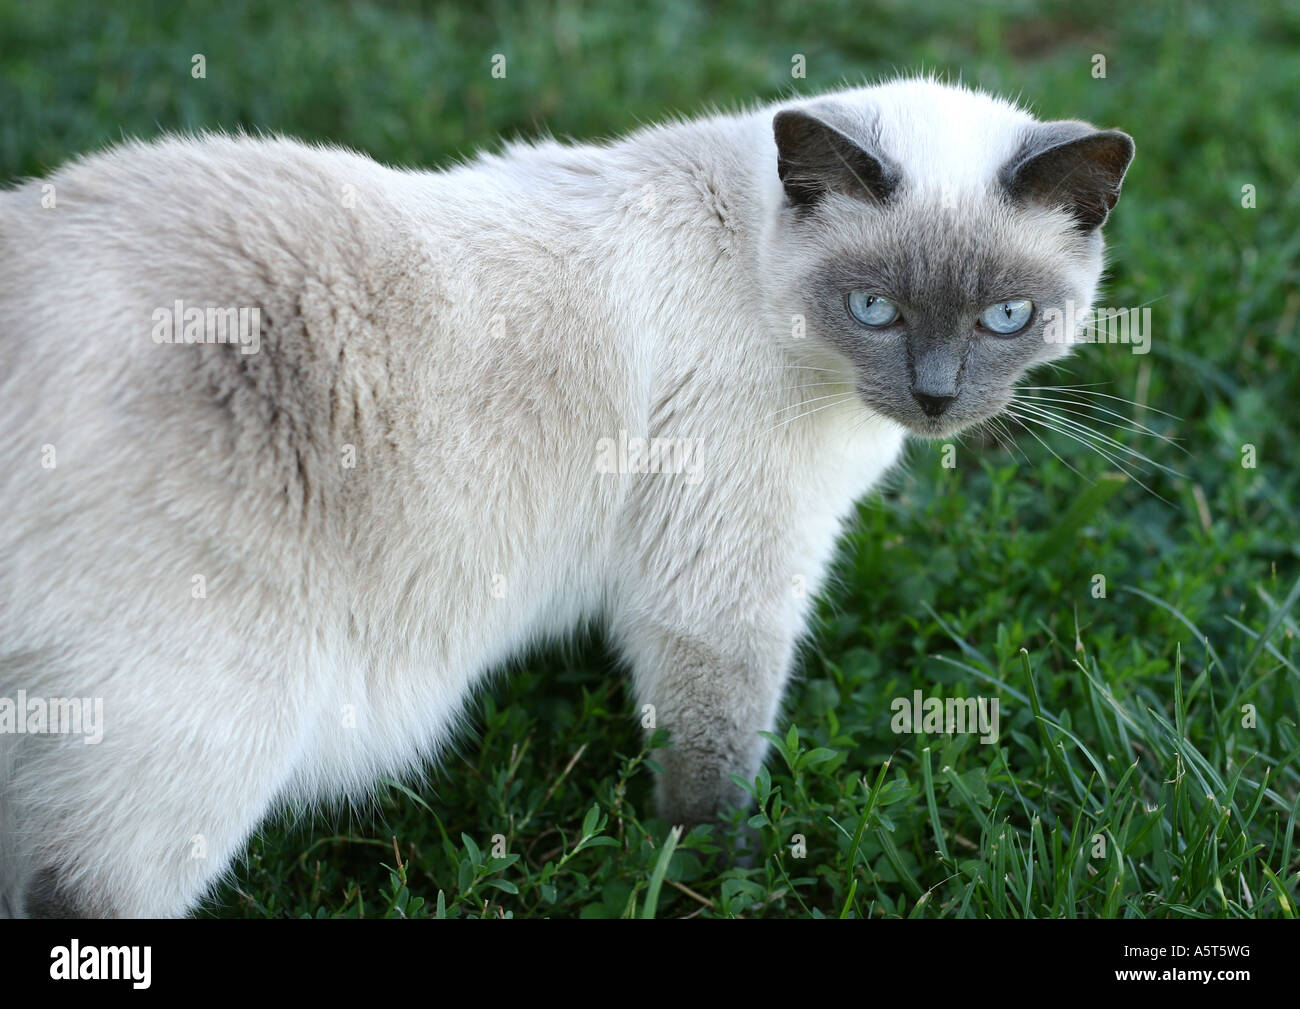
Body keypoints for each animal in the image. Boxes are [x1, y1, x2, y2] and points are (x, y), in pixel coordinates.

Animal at [0, 76, 1128, 915]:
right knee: (77, 895)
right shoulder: (724, 592)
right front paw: (718, 883)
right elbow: (712, 771)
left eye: (1007, 315)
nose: (936, 399)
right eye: (873, 307)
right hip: (207, 727)